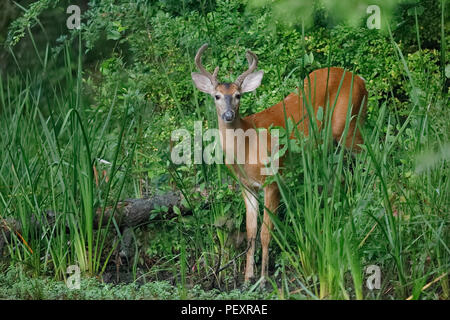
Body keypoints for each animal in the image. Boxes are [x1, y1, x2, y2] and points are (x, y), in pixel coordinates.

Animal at [192, 43, 368, 284]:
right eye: (217, 96)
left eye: (238, 95)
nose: (228, 115)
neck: (247, 148)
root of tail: (360, 80)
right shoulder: (247, 187)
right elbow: (250, 232)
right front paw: (247, 277)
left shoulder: (273, 180)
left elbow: (266, 232)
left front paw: (263, 279)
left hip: (348, 126)